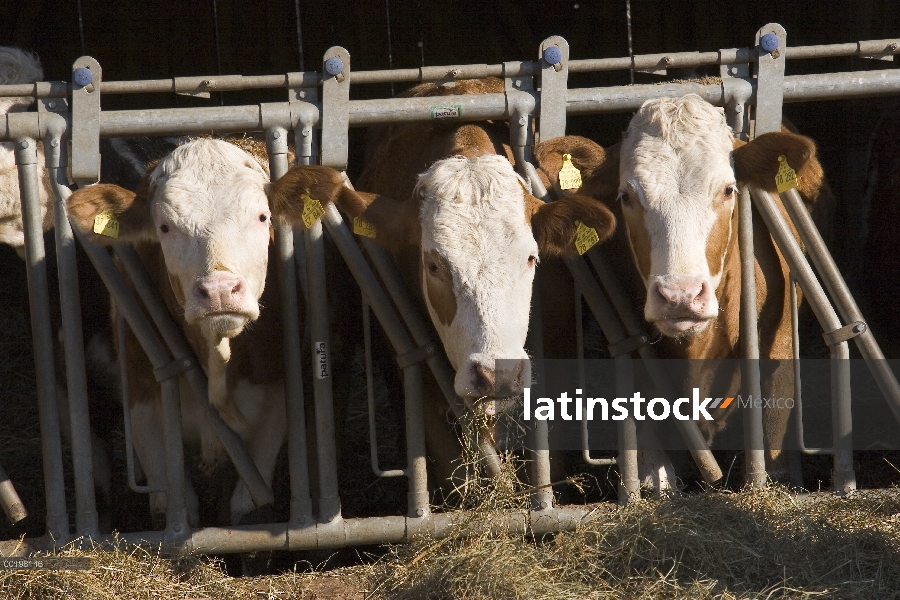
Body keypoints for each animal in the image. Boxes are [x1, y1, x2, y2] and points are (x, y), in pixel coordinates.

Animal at [66, 137, 326, 524]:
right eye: (164, 227)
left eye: (262, 217)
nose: (219, 290)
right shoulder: (144, 405)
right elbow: (175, 507)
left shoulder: (274, 403)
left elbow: (247, 508)